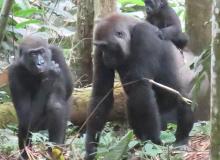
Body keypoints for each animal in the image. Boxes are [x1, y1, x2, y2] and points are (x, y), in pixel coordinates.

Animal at [84, 13, 194, 159]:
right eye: (101, 48)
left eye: (106, 47)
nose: (105, 57)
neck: (130, 32)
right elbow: (101, 93)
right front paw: (91, 147)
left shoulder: (144, 35)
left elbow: (140, 89)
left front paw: (152, 141)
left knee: (184, 101)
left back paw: (181, 139)